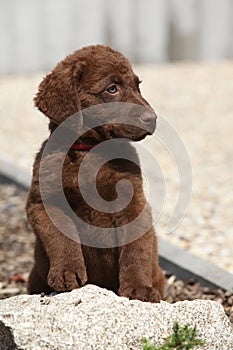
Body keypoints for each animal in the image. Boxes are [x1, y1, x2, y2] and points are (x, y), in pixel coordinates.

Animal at [26, 45, 165, 302]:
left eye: (137, 85)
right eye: (112, 89)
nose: (152, 119)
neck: (90, 151)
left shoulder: (135, 203)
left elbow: (136, 249)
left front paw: (138, 288)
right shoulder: (43, 203)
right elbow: (61, 238)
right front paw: (66, 272)